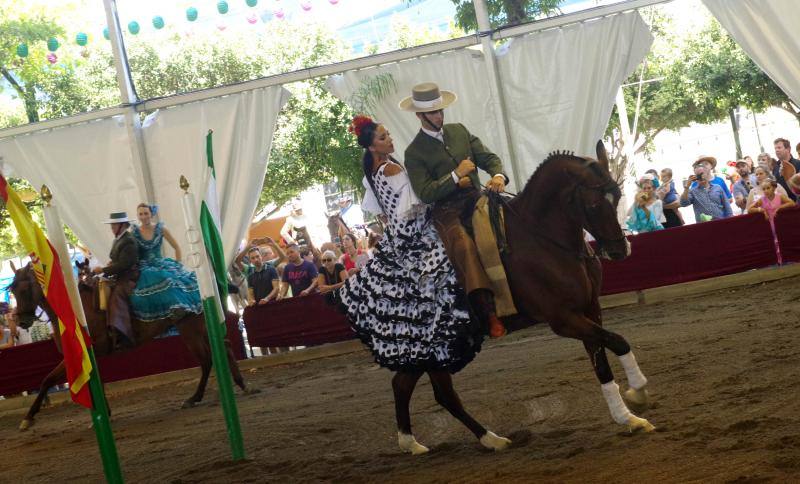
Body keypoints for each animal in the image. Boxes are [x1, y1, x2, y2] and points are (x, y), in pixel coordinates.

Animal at [8, 258, 256, 432]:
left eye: (23, 289)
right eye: (12, 290)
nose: (21, 321)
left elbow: (48, 380)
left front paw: (27, 419)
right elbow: (62, 381)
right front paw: (103, 414)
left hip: (191, 329)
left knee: (207, 359)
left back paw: (196, 397)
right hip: (200, 328)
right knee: (223, 348)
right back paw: (241, 385)